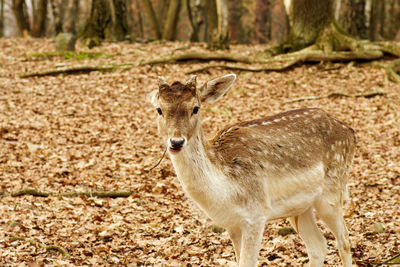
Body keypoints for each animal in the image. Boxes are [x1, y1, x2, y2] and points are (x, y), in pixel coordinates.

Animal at [148, 74, 354, 267]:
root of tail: (350, 131)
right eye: (159, 109)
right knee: (318, 245)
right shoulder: (232, 224)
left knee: (344, 240)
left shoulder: (256, 215)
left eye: (195, 108)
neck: (225, 191)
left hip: (332, 191)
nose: (176, 142)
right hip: (301, 207)